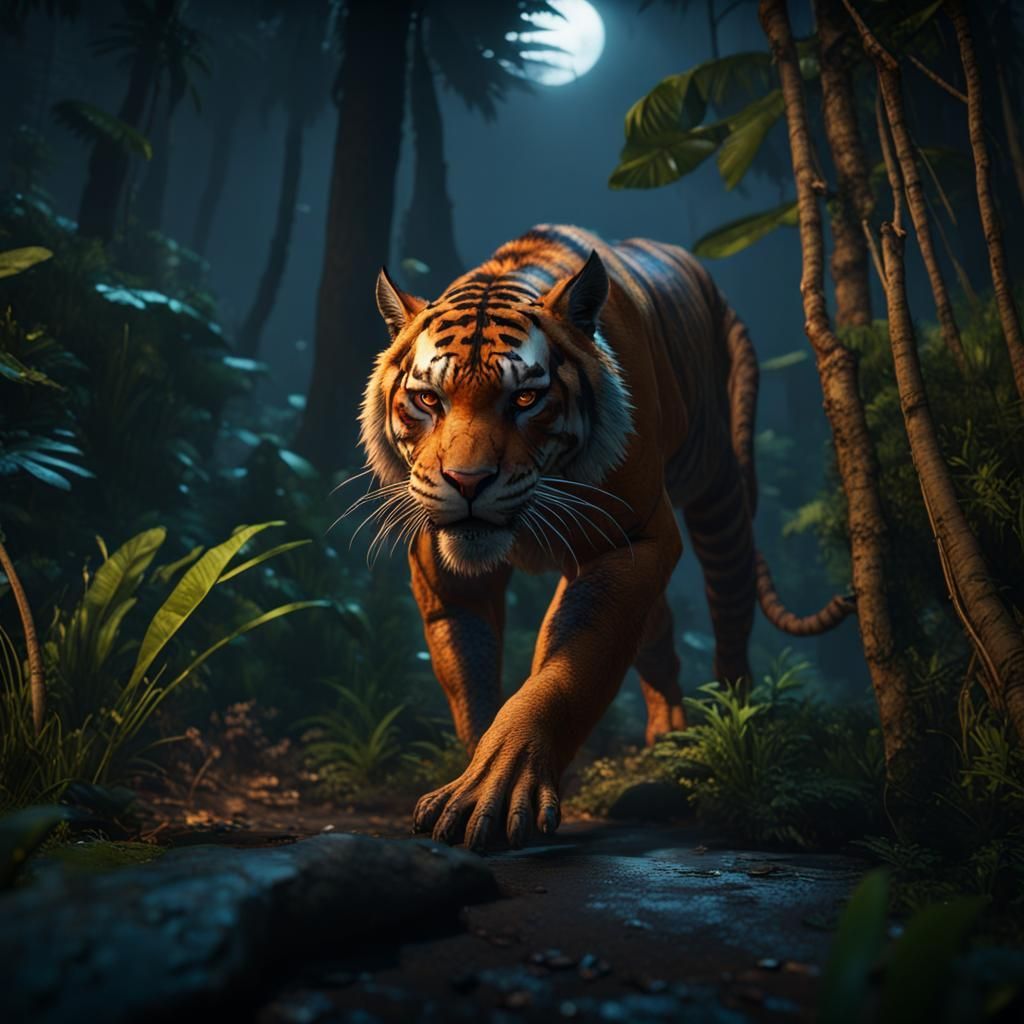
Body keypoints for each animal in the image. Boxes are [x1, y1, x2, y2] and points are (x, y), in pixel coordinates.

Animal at [358, 224, 852, 851]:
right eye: (428, 400)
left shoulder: (630, 540)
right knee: (659, 635)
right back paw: (667, 741)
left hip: (716, 488)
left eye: (525, 399)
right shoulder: (447, 576)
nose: (467, 481)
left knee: (731, 611)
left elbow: (569, 667)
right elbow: (471, 681)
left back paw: (737, 729)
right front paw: (472, 776)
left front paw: (498, 783)